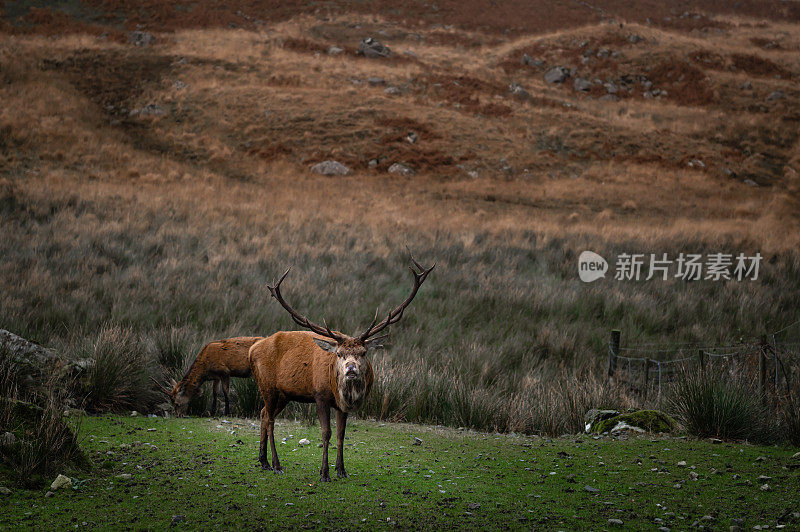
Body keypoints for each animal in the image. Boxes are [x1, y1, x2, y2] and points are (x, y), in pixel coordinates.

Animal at [253, 258, 434, 482]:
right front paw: (324, 473)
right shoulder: (320, 394)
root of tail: (252, 349)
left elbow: (341, 433)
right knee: (269, 419)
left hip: (284, 393)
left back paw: (263, 461)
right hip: (267, 386)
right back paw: (276, 464)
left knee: (262, 413)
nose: (351, 369)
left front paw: (341, 470)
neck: (341, 391)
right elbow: (326, 433)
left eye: (363, 352)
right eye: (339, 354)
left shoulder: (342, 405)